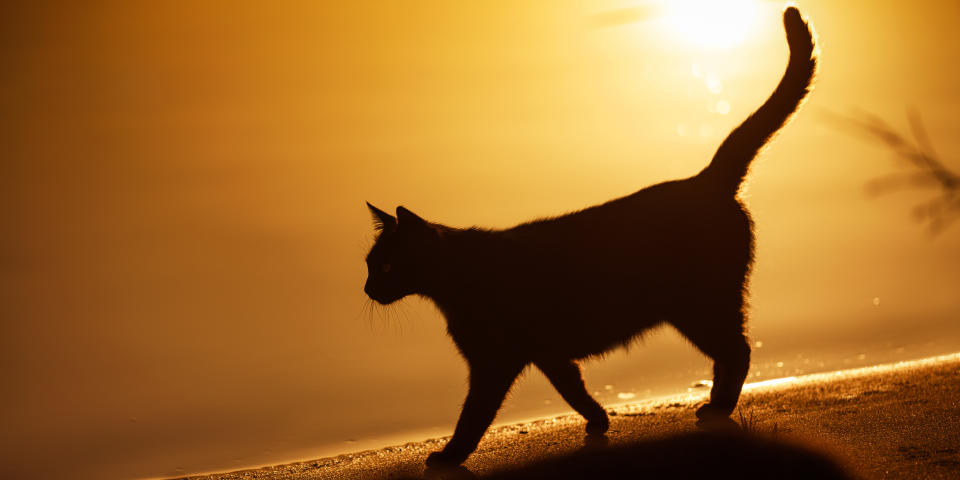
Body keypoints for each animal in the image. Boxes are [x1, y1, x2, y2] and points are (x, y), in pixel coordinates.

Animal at [364, 5, 812, 466]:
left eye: (386, 265)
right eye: (369, 265)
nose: (367, 288)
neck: (458, 279)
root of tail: (704, 179)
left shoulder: (495, 361)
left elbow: (474, 415)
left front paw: (450, 455)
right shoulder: (549, 354)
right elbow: (573, 389)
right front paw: (599, 420)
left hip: (700, 305)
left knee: (737, 352)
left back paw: (719, 408)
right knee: (730, 354)